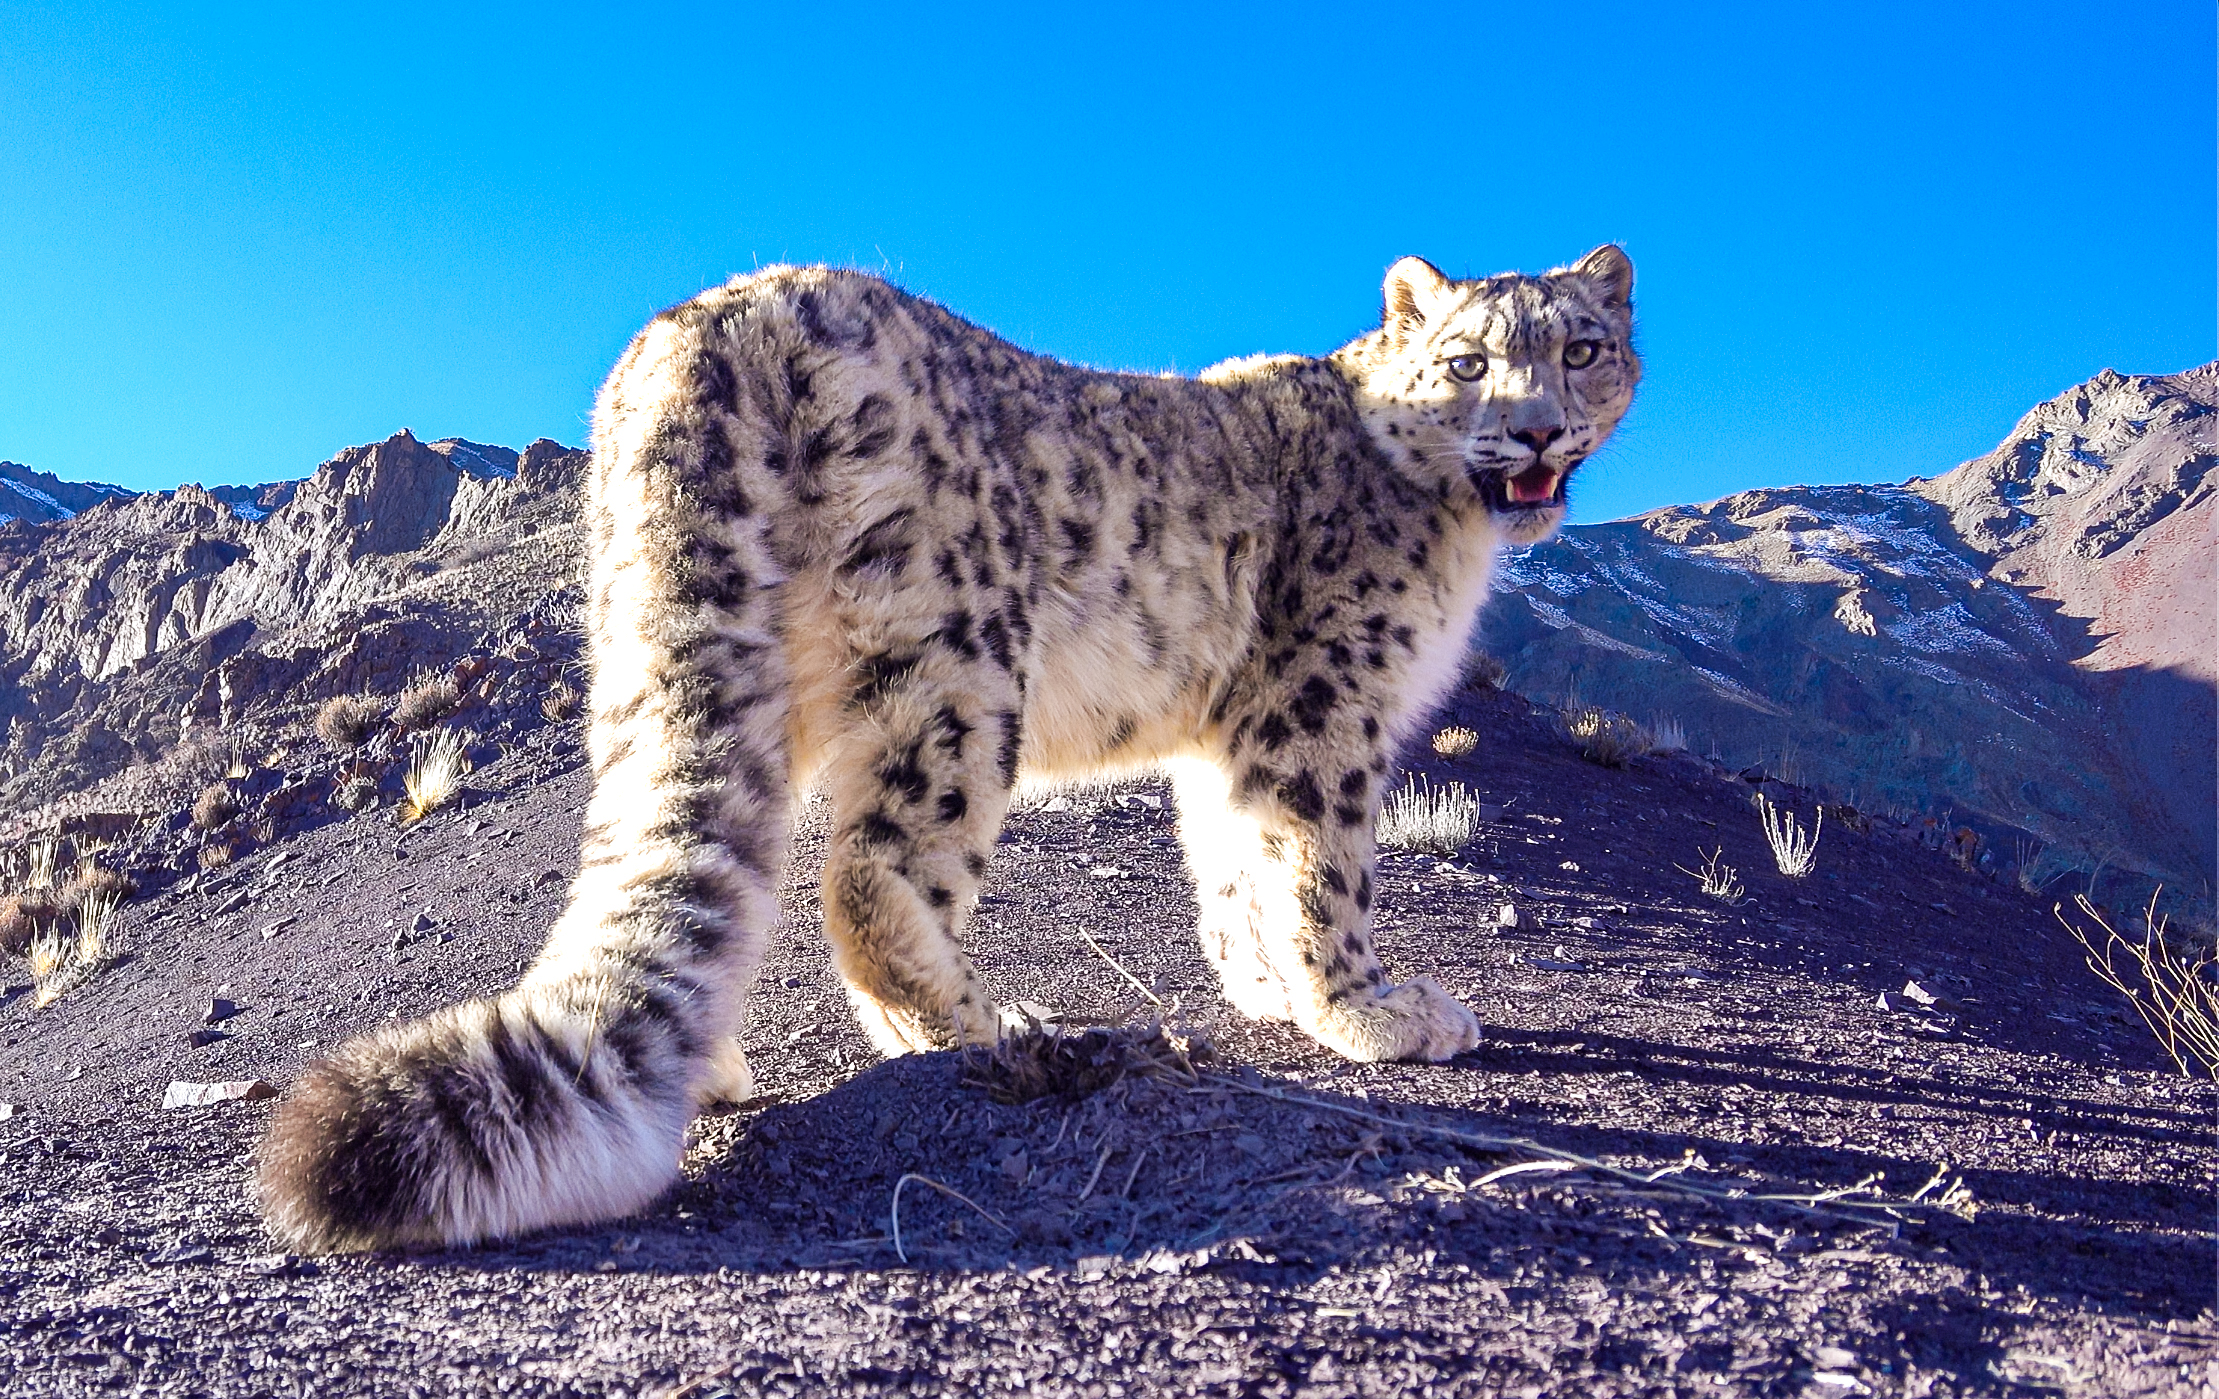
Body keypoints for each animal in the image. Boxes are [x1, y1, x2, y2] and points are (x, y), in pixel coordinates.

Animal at [255, 246, 1639, 1251]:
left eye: (1579, 349)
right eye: (1465, 361)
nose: (1530, 433)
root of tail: (720, 321)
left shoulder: (1224, 727)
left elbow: (1229, 861)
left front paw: (1260, 985)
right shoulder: (1321, 699)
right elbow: (1319, 862)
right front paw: (1366, 1009)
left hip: (659, 651)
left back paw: (724, 1059)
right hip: (958, 665)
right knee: (870, 875)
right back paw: (991, 1025)